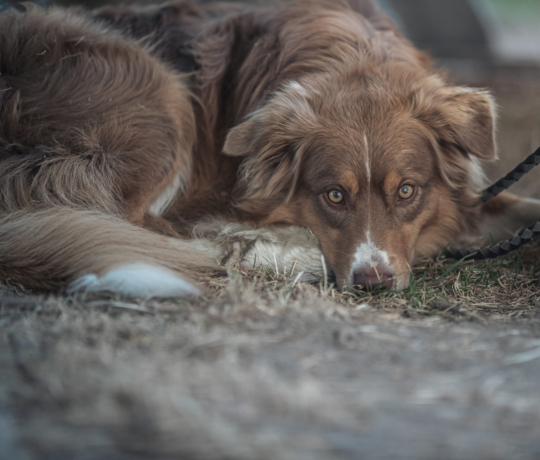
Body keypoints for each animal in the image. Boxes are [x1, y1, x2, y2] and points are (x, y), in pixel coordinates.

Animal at [0, 0, 536, 294]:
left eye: (407, 191)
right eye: (333, 195)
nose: (372, 282)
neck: (355, 54)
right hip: (159, 97)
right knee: (131, 223)